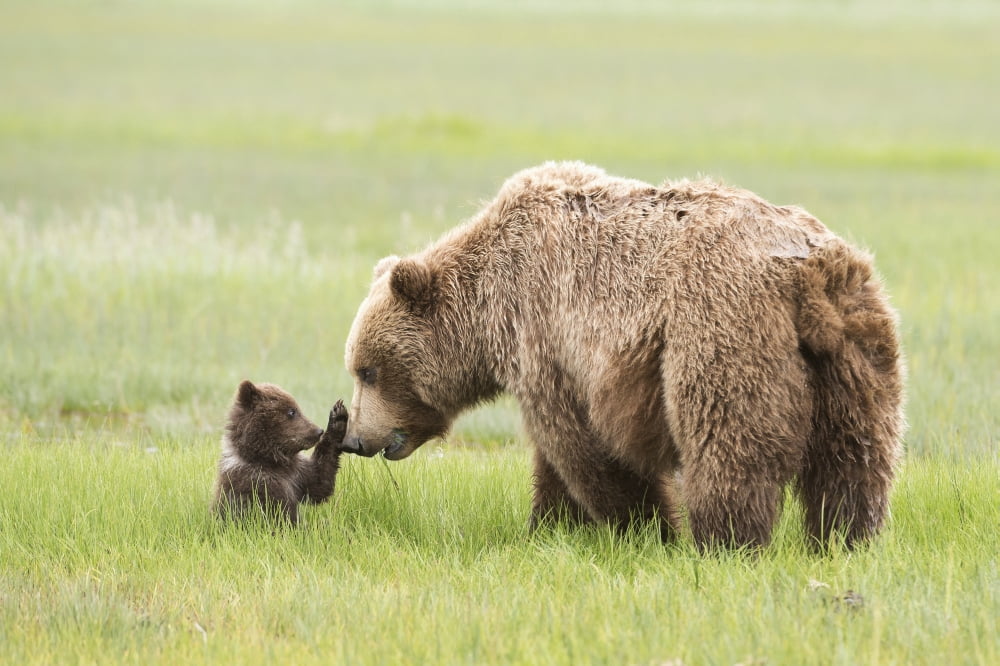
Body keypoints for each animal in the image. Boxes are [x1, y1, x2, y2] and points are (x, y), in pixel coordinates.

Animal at [212, 380, 347, 524]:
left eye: (296, 408)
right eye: (291, 411)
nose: (318, 431)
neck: (269, 460)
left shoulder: (296, 473)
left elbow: (319, 480)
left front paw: (338, 416)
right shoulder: (255, 484)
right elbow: (281, 517)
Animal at [341, 161, 905, 550]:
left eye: (368, 369)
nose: (353, 439)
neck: (488, 310)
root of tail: (809, 274)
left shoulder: (546, 337)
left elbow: (584, 448)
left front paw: (647, 529)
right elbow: (556, 465)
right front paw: (549, 527)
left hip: (720, 326)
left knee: (728, 442)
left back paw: (725, 541)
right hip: (855, 346)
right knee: (853, 457)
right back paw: (844, 540)